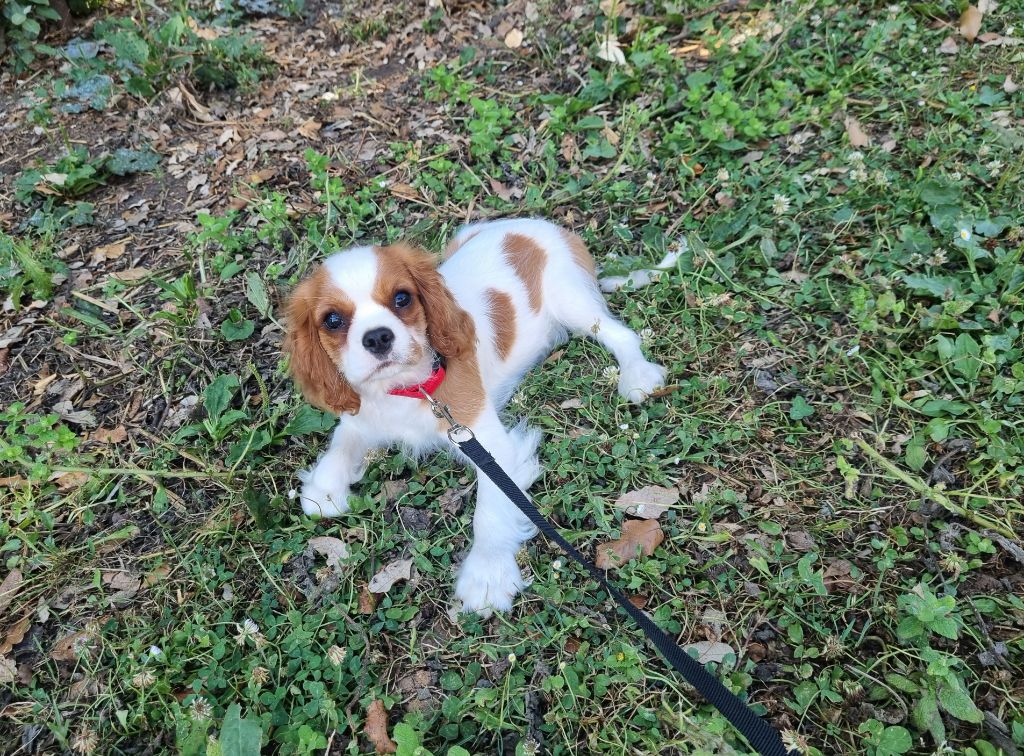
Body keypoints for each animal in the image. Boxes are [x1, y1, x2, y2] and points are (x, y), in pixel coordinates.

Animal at [284, 218, 666, 613]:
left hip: (572, 301)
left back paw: (637, 374)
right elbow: (342, 440)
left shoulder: (484, 439)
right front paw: (323, 489)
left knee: (623, 335)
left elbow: (491, 508)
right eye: (332, 320)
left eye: (402, 298)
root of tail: (547, 227)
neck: (408, 387)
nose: (377, 338)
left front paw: (487, 574)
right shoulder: (366, 413)